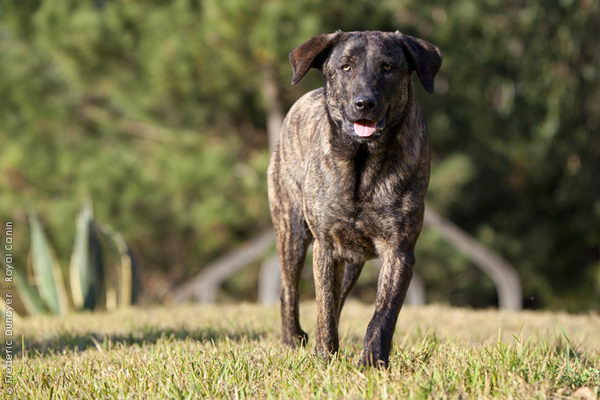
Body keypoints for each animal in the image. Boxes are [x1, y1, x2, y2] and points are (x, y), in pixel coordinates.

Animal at [268, 29, 440, 368]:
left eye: (388, 67)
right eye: (345, 66)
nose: (365, 103)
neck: (362, 164)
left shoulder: (399, 251)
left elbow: (383, 313)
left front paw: (372, 361)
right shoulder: (325, 246)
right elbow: (324, 306)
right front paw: (324, 355)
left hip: (351, 262)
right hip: (291, 231)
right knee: (289, 289)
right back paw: (293, 338)